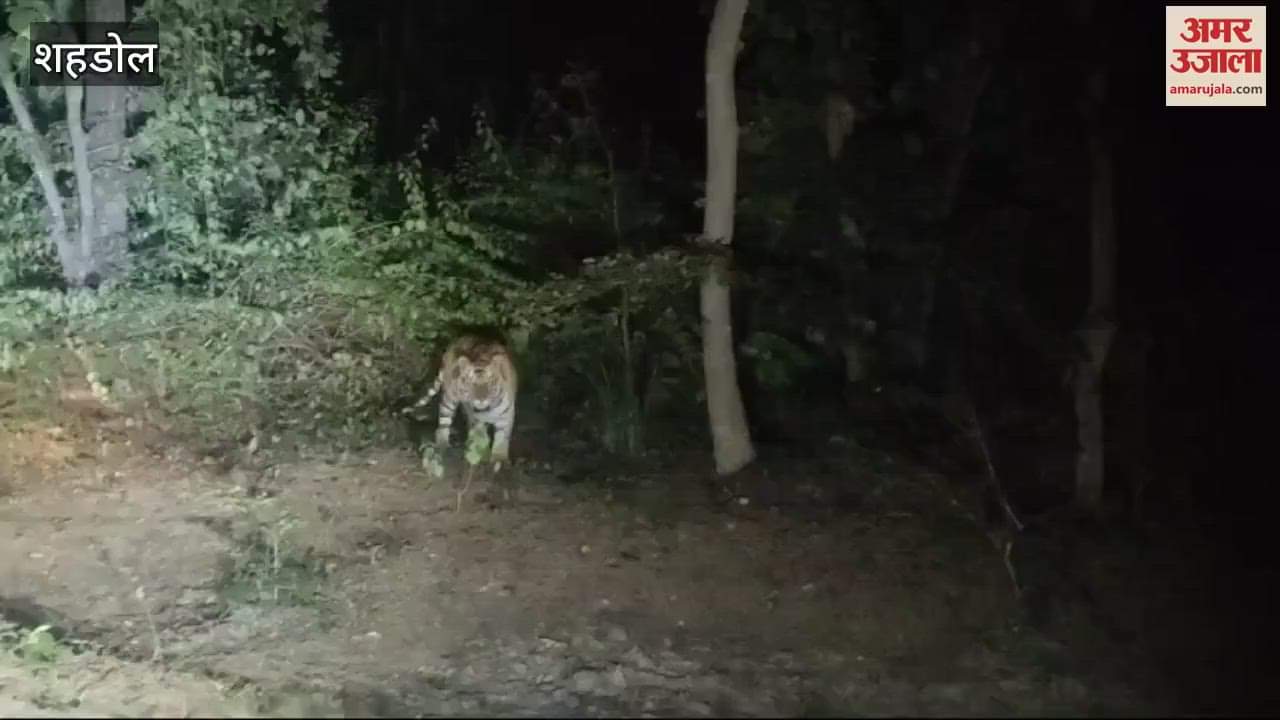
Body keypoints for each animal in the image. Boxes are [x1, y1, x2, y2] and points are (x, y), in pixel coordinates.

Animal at [409, 335, 518, 470]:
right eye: (472, 384)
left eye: (489, 383)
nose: (481, 400)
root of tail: (457, 340)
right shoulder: (475, 419)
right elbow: (478, 437)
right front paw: (480, 454)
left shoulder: (505, 416)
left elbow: (502, 439)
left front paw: (499, 459)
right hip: (449, 399)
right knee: (443, 424)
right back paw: (442, 445)